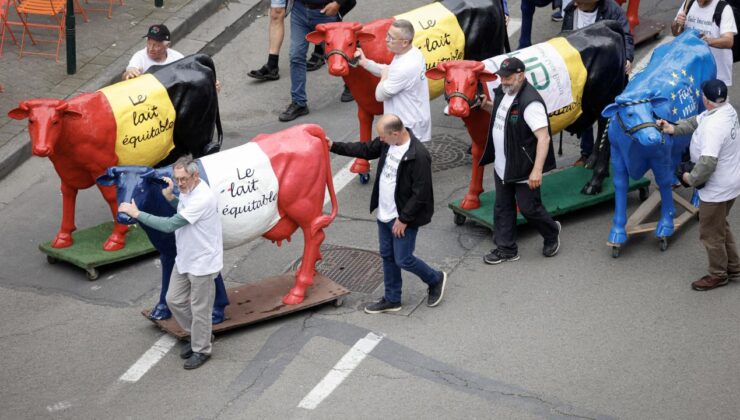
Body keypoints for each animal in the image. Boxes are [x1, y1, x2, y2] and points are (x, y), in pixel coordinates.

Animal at [7, 55, 223, 253]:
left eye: (55, 121)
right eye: (31, 121)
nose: (41, 149)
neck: (77, 127)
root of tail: (194, 60)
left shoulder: (102, 166)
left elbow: (111, 197)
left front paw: (118, 237)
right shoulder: (67, 169)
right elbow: (67, 194)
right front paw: (63, 236)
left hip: (199, 136)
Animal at [306, 0, 508, 176]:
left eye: (349, 42)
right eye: (328, 43)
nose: (337, 68)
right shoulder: (362, 99)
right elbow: (363, 122)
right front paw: (361, 167)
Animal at [428, 20, 632, 209]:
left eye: (471, 82)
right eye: (448, 81)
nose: (457, 108)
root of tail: (603, 26)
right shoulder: (480, 137)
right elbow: (478, 163)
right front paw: (471, 198)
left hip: (605, 100)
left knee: (606, 133)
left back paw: (594, 182)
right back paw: (593, 165)